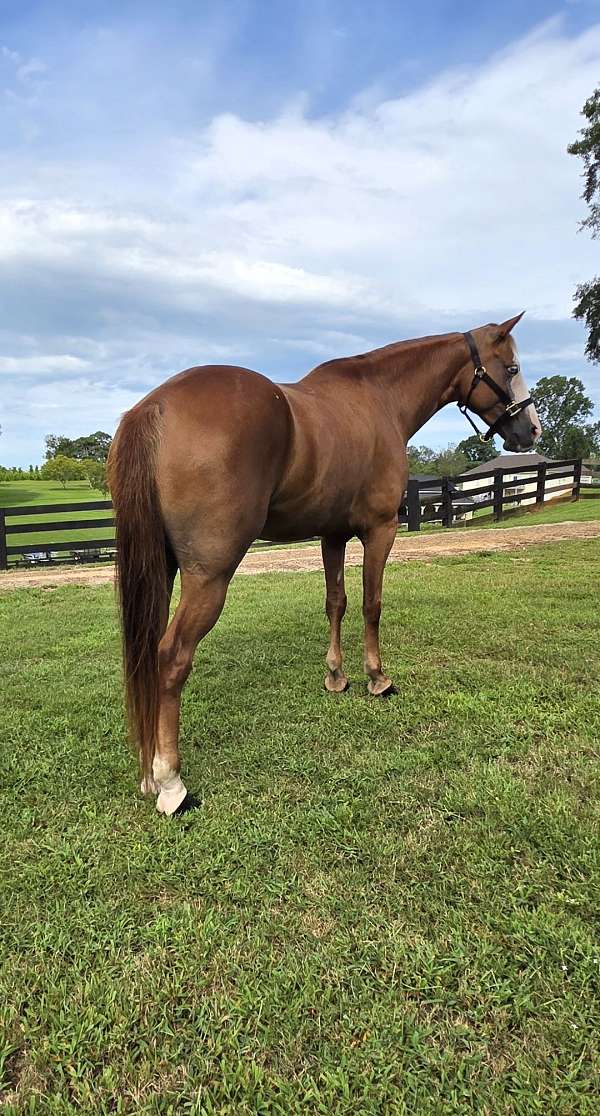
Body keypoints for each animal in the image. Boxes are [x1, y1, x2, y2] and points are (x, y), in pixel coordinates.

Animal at [108, 314, 540, 815]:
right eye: (511, 367)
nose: (532, 431)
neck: (378, 399)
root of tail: (154, 407)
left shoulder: (332, 536)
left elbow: (336, 602)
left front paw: (336, 676)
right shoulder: (380, 530)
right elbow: (372, 604)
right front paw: (377, 677)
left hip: (159, 570)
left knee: (145, 656)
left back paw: (148, 775)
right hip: (208, 577)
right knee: (171, 656)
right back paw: (171, 782)